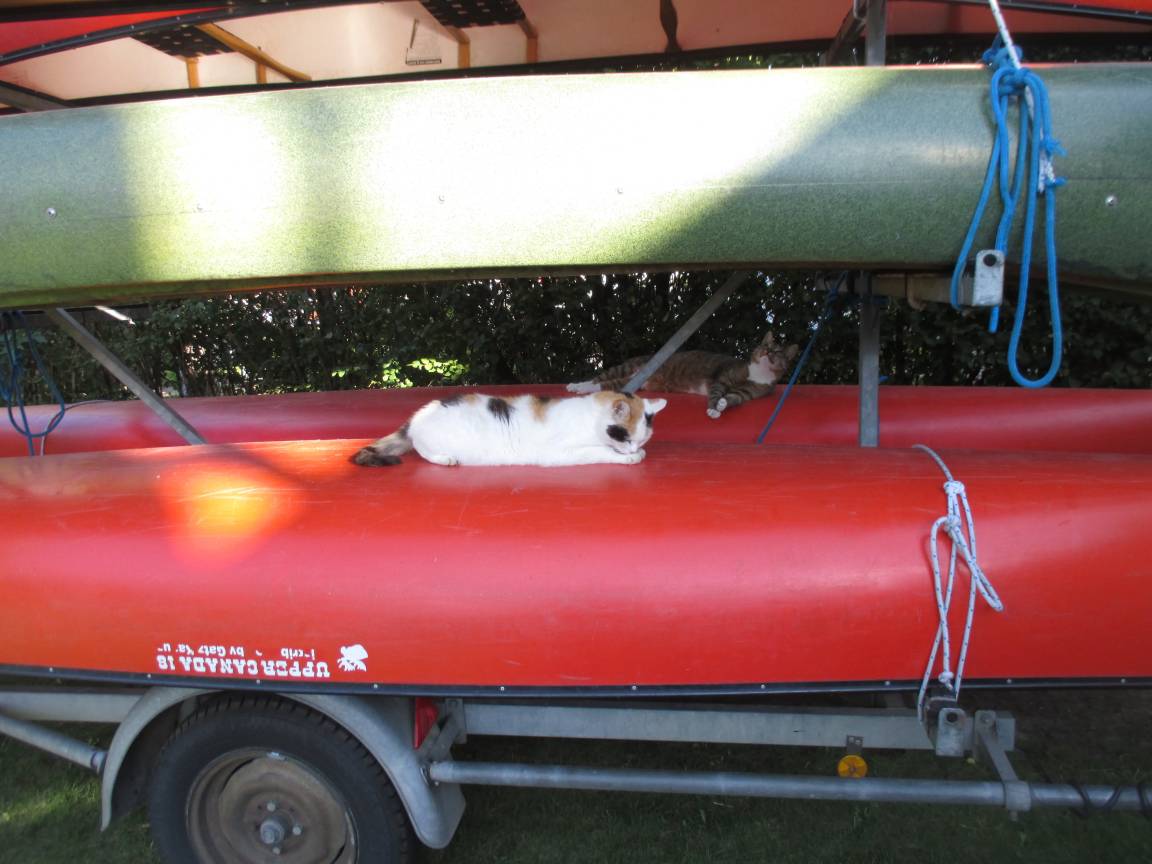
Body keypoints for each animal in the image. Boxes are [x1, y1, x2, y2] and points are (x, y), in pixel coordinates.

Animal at [567, 333, 799, 419]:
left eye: (777, 352)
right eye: (766, 346)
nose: (767, 352)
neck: (758, 373)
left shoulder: (749, 392)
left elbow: (734, 398)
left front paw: (722, 406)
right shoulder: (723, 378)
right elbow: (716, 392)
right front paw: (713, 407)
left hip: (637, 380)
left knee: (606, 382)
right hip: (627, 371)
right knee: (599, 380)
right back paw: (577, 386)